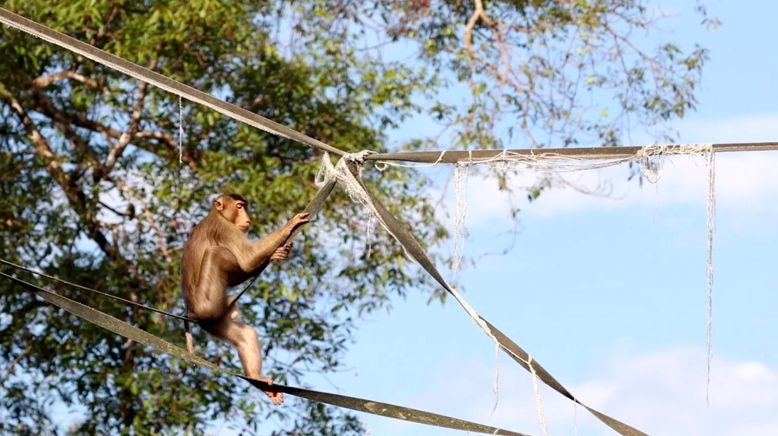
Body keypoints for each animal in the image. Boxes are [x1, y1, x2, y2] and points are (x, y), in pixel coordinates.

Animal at [180, 194, 310, 406]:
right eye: (240, 206)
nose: (247, 218)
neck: (217, 214)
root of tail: (191, 311)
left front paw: (278, 253)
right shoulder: (225, 228)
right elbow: (247, 260)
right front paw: (291, 224)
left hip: (214, 322)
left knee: (244, 335)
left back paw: (258, 379)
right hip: (207, 306)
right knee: (217, 254)